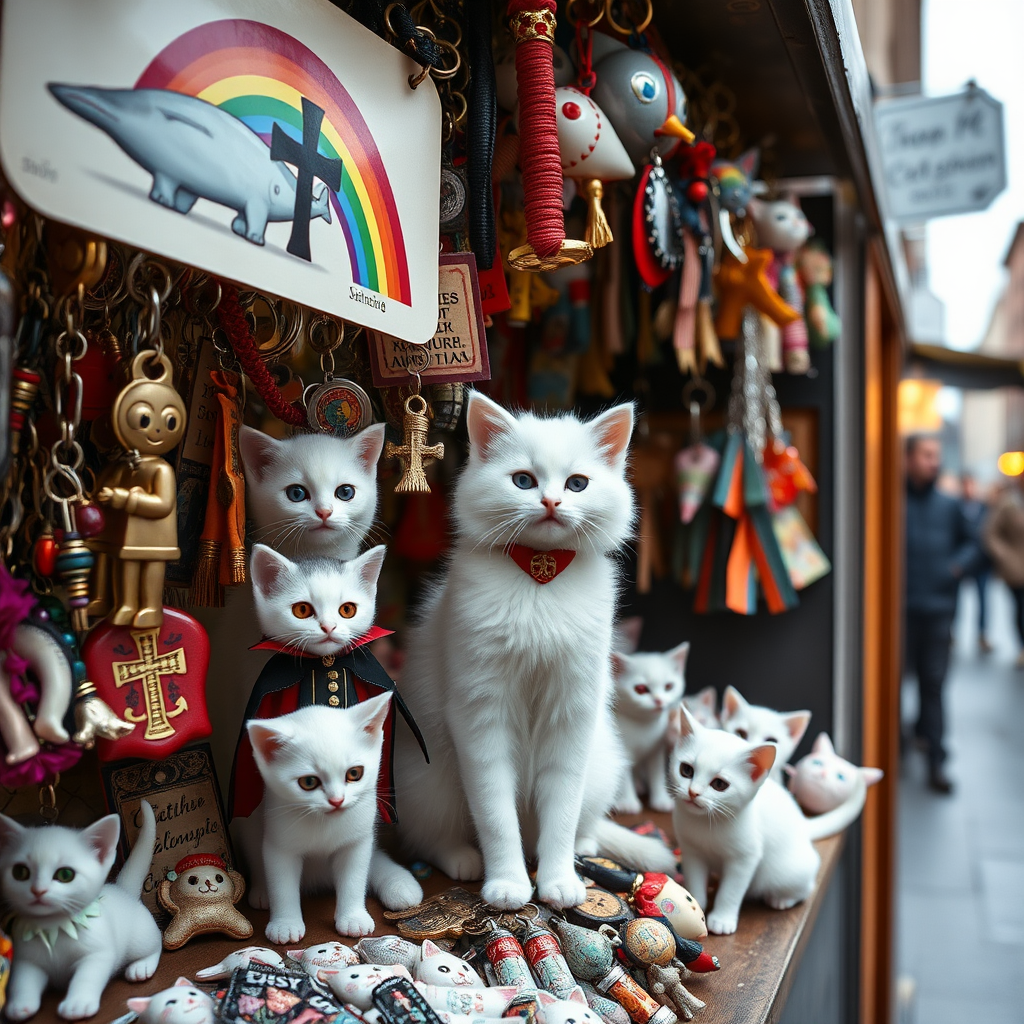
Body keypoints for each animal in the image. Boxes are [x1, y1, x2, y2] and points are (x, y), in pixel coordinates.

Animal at [0, 802, 161, 1019]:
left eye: (65, 874)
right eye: (20, 872)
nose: (38, 890)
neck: (53, 928)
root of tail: (122, 889)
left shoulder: (97, 954)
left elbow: (86, 977)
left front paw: (78, 1003)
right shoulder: (27, 960)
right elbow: (23, 980)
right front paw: (20, 1004)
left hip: (140, 937)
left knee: (156, 941)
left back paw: (142, 966)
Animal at [395, 391, 675, 913]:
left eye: (577, 483)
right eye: (523, 480)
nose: (550, 501)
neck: (540, 579)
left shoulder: (572, 716)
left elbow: (560, 814)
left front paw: (559, 879)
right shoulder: (480, 716)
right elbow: (496, 816)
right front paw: (507, 884)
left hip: (601, 764)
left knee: (578, 823)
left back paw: (582, 847)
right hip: (428, 780)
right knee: (434, 837)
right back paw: (464, 858)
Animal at [606, 643, 688, 811]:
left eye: (669, 686)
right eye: (641, 689)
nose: (659, 700)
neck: (643, 724)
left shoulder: (657, 748)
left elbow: (656, 773)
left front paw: (661, 799)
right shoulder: (621, 749)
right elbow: (624, 775)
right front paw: (628, 802)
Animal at [671, 704, 872, 937]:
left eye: (719, 784)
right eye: (686, 770)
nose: (693, 792)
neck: (707, 823)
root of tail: (802, 823)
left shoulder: (745, 858)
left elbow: (731, 890)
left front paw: (722, 919)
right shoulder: (691, 850)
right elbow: (695, 878)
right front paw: (697, 902)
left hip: (788, 871)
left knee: (807, 887)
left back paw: (782, 899)